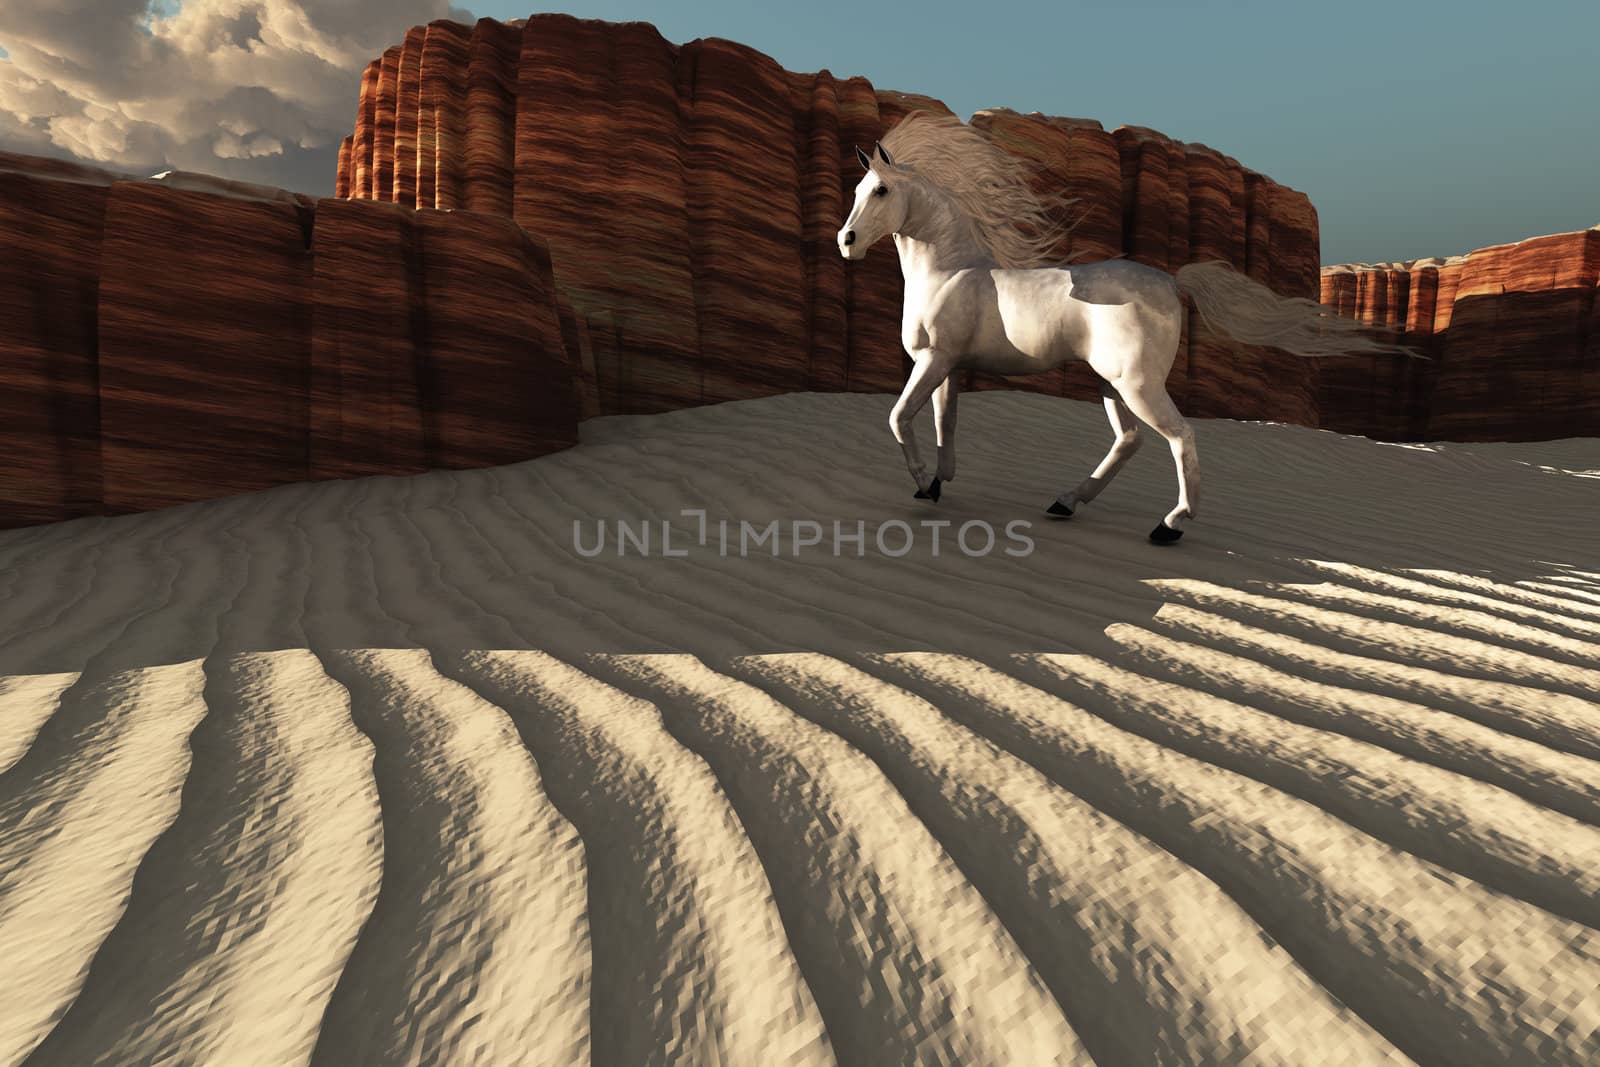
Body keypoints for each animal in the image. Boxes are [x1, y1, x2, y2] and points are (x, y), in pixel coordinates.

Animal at [838, 110, 1414, 543]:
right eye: (858, 189)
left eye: (882, 190)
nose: (846, 241)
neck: (950, 270)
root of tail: (1172, 281)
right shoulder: (949, 366)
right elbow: (945, 424)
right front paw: (939, 483)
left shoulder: (934, 361)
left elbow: (898, 418)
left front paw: (920, 484)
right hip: (1109, 383)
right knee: (1131, 440)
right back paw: (1066, 502)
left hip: (1135, 383)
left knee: (1179, 435)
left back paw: (1170, 526)